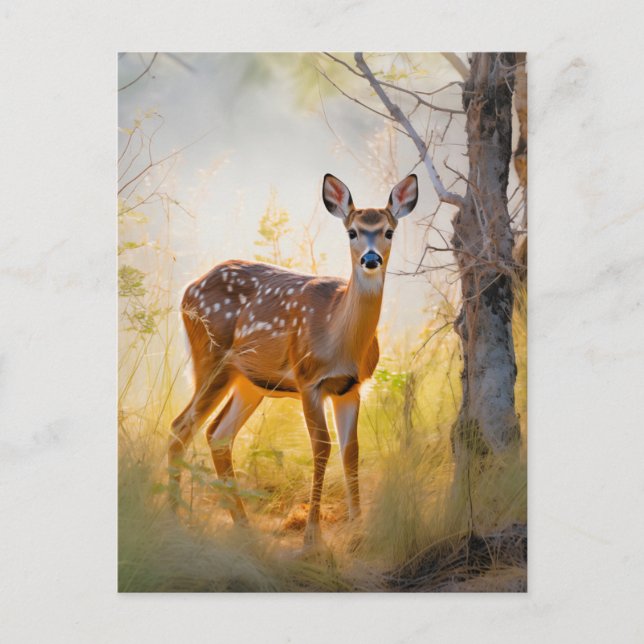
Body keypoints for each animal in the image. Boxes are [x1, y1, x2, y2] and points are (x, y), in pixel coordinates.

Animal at [168, 173, 418, 545]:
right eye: (352, 232)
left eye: (389, 231)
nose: (371, 259)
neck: (338, 336)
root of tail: (187, 290)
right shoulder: (308, 379)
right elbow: (322, 447)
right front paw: (312, 536)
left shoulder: (351, 387)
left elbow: (351, 450)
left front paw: (359, 530)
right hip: (210, 358)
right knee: (180, 427)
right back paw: (172, 517)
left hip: (250, 381)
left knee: (218, 434)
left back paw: (243, 526)